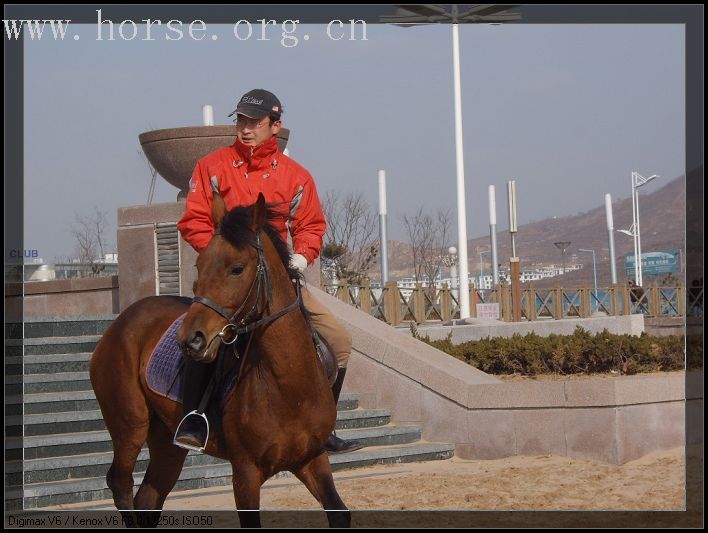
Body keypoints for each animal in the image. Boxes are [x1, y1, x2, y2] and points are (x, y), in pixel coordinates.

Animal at [90, 193, 350, 524]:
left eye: (237, 268)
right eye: (199, 265)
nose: (190, 339)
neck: (289, 386)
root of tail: (122, 320)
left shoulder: (312, 460)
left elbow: (340, 513)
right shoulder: (246, 473)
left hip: (166, 443)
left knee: (147, 498)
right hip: (128, 427)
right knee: (121, 484)